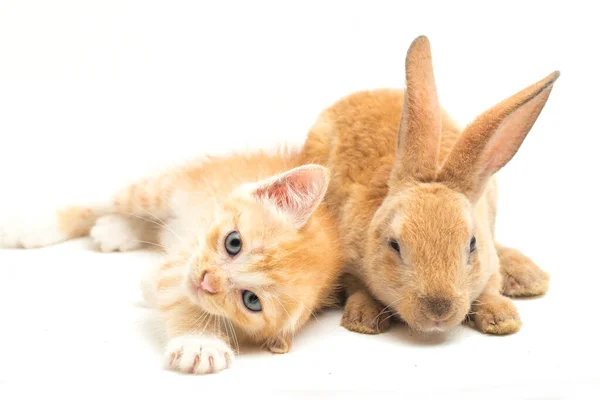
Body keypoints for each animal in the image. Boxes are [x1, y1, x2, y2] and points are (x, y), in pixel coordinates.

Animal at [1, 149, 342, 376]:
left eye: (251, 301)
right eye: (234, 242)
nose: (207, 281)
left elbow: (165, 287)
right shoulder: (185, 258)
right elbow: (177, 293)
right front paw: (199, 342)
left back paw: (115, 230)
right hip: (159, 188)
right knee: (102, 202)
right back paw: (31, 227)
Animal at [302, 36, 560, 334]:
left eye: (472, 244)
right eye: (394, 245)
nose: (438, 309)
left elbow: (490, 286)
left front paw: (502, 320)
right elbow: (358, 287)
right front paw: (364, 319)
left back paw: (528, 276)